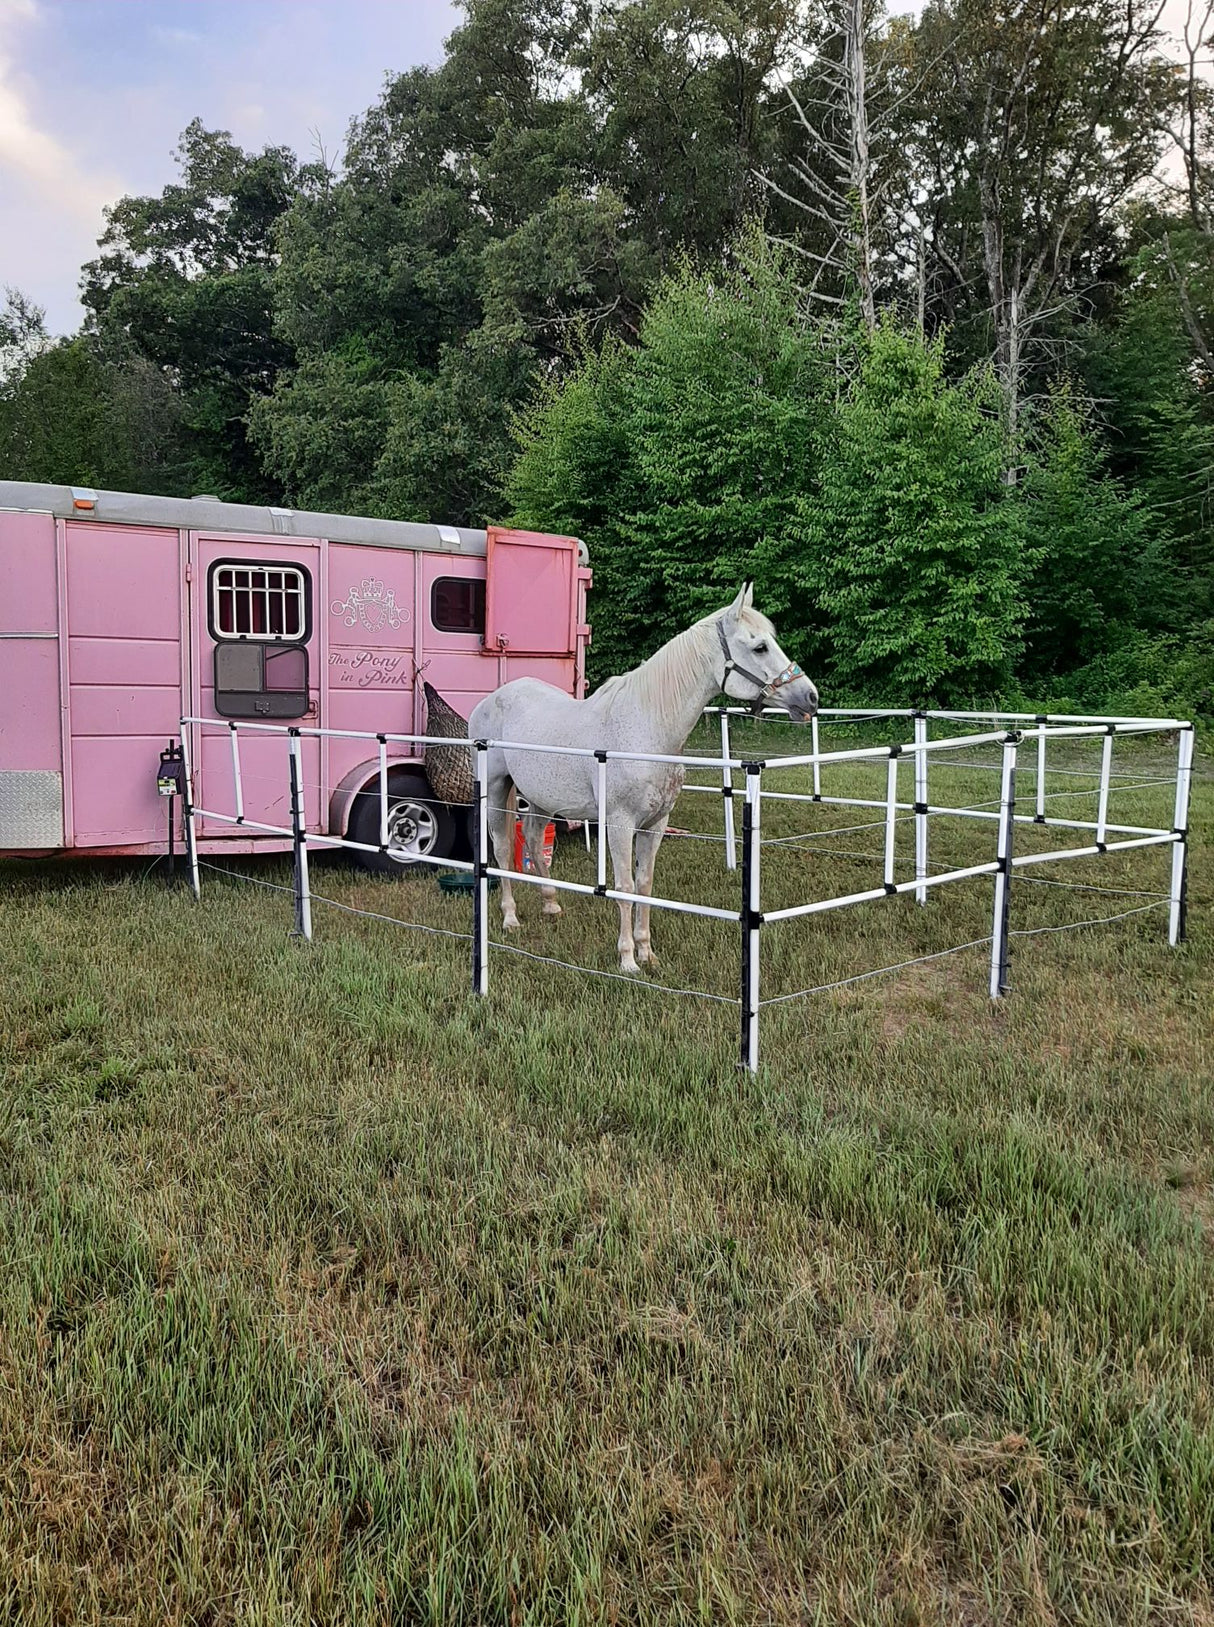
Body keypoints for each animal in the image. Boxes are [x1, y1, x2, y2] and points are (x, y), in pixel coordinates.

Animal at [467, 585, 819, 973]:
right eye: (760, 647)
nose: (810, 698)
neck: (646, 726)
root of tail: (491, 699)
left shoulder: (655, 823)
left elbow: (645, 885)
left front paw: (647, 952)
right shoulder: (620, 824)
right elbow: (624, 886)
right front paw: (627, 960)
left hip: (541, 798)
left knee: (531, 839)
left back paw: (551, 903)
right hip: (496, 788)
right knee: (501, 848)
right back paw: (510, 917)